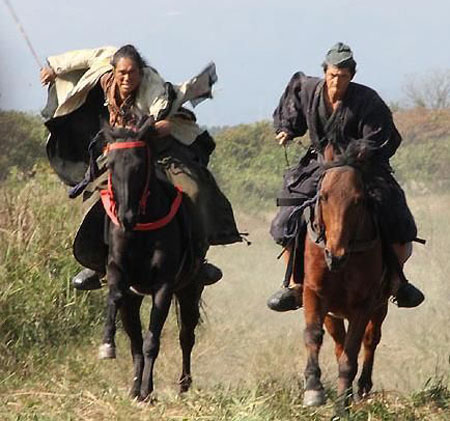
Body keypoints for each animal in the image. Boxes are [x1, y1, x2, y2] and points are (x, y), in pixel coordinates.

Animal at [99, 116, 206, 398]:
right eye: (110, 165)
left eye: (139, 164)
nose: (126, 217)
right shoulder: (118, 272)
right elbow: (116, 297)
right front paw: (107, 345)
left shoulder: (164, 285)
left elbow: (152, 340)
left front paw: (148, 389)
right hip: (135, 298)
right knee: (134, 338)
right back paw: (135, 386)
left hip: (191, 288)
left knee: (186, 335)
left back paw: (183, 383)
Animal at [300, 144, 388, 414]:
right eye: (324, 196)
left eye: (358, 201)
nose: (335, 255)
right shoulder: (314, 293)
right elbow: (313, 335)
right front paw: (313, 389)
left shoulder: (364, 305)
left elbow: (351, 355)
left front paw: (341, 407)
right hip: (334, 313)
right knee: (338, 342)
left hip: (380, 306)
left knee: (370, 340)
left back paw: (362, 388)